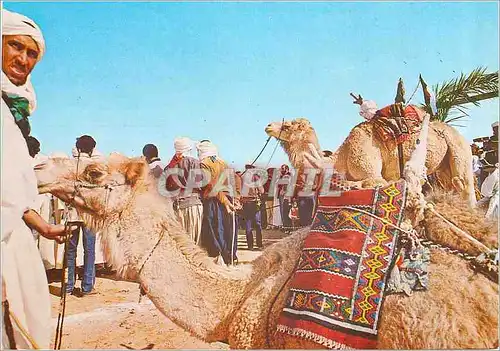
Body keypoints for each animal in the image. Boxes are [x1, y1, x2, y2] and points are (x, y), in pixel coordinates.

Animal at [264, 115, 474, 206]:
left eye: (287, 125)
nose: (268, 126)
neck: (341, 157)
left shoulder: (371, 171)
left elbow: (369, 184)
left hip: (460, 151)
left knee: (463, 185)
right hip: (444, 166)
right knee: (452, 186)